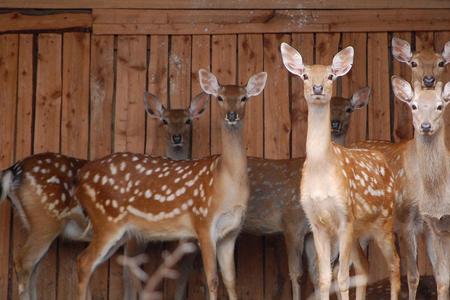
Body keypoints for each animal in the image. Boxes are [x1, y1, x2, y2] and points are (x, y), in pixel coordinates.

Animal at [72, 68, 266, 300]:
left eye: (244, 98)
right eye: (219, 97)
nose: (232, 115)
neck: (226, 182)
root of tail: (80, 177)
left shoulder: (231, 232)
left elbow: (231, 281)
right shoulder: (203, 222)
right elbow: (212, 279)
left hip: (120, 230)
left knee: (90, 264)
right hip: (106, 220)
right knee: (84, 262)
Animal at [282, 42, 400, 300]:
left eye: (330, 76)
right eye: (305, 75)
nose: (317, 88)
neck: (321, 169)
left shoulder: (345, 216)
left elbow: (343, 277)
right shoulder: (317, 223)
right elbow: (325, 278)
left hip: (384, 220)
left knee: (395, 264)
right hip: (360, 230)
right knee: (365, 266)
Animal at [356, 78, 450, 300]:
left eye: (440, 106)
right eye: (413, 105)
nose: (425, 126)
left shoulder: (431, 227)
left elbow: (441, 278)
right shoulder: (407, 218)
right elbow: (413, 276)